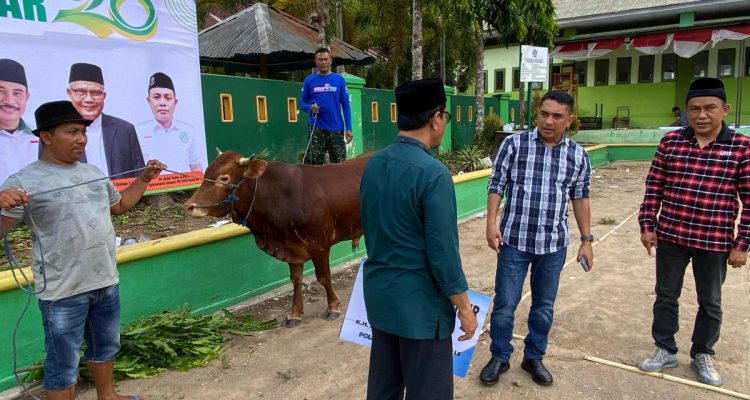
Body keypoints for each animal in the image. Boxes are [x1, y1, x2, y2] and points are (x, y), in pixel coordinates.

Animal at [182, 152, 370, 326]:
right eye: (207, 172)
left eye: (224, 177)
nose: (189, 206)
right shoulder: (292, 248)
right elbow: (296, 280)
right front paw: (295, 314)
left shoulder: (319, 245)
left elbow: (323, 276)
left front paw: (333, 307)